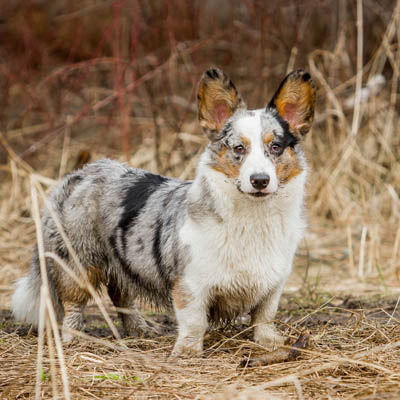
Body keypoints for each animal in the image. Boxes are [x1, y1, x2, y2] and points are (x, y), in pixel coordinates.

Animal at [12, 69, 316, 356]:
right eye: (239, 148)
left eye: (275, 147)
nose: (260, 180)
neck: (252, 218)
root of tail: (76, 175)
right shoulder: (191, 284)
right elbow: (194, 321)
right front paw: (187, 352)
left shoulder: (274, 283)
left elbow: (264, 315)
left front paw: (269, 342)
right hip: (77, 264)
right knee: (75, 303)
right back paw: (74, 337)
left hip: (125, 261)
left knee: (122, 297)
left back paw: (140, 330)